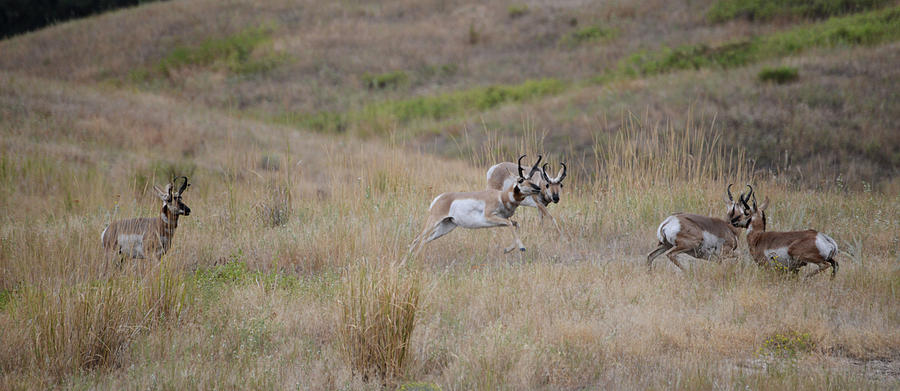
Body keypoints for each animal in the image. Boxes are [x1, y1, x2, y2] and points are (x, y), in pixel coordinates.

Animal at [404, 155, 544, 264]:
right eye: (520, 180)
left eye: (530, 179)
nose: (537, 188)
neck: (501, 197)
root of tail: (439, 198)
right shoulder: (490, 217)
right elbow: (510, 224)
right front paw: (521, 247)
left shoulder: (501, 219)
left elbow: (516, 224)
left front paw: (507, 249)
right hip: (434, 222)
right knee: (417, 238)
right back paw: (406, 262)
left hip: (446, 226)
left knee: (424, 240)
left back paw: (412, 259)